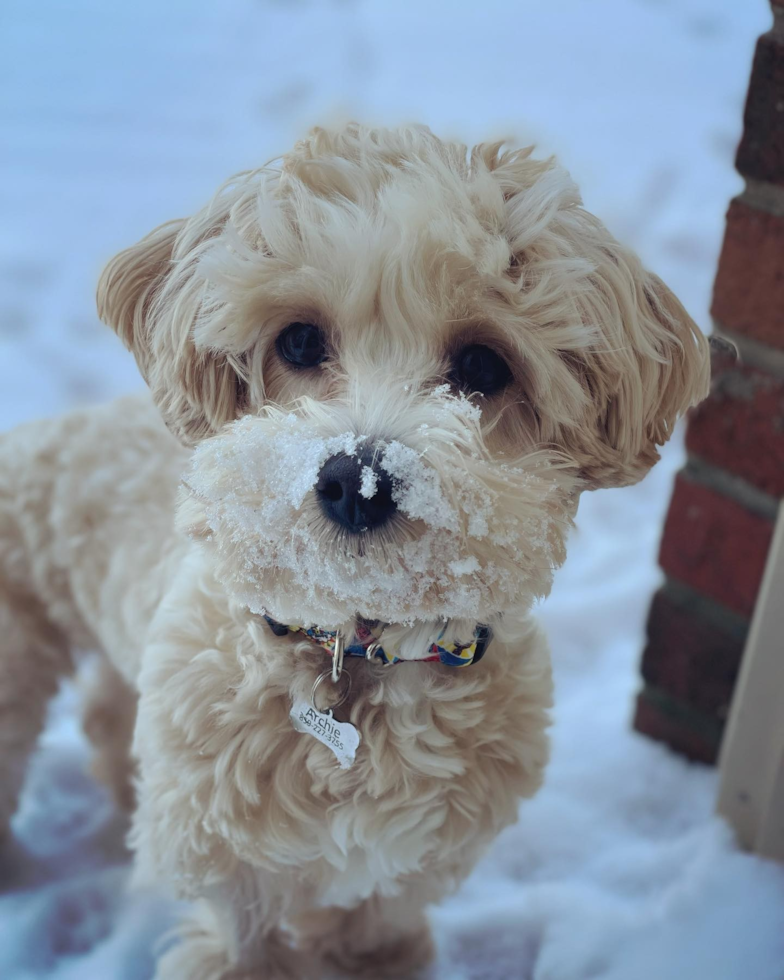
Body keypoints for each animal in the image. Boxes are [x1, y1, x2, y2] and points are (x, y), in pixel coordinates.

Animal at [0, 126, 712, 976]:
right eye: (300, 340)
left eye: (483, 364)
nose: (355, 481)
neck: (361, 653)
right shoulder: (230, 865)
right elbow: (243, 945)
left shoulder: (412, 864)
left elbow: (375, 928)